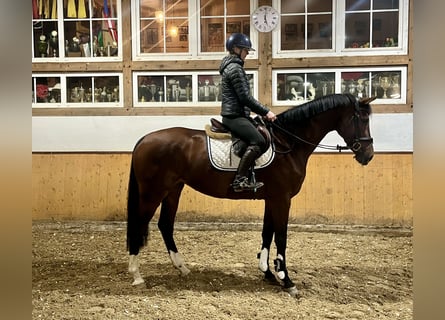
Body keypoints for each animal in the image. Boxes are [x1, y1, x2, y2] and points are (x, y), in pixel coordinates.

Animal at [125, 94, 374, 296]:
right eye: (362, 120)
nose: (368, 156)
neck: (289, 143)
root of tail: (144, 139)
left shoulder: (272, 199)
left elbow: (267, 233)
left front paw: (268, 273)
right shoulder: (282, 199)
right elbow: (281, 237)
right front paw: (287, 280)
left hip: (173, 190)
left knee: (165, 225)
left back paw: (182, 267)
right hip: (153, 193)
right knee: (139, 223)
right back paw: (136, 274)